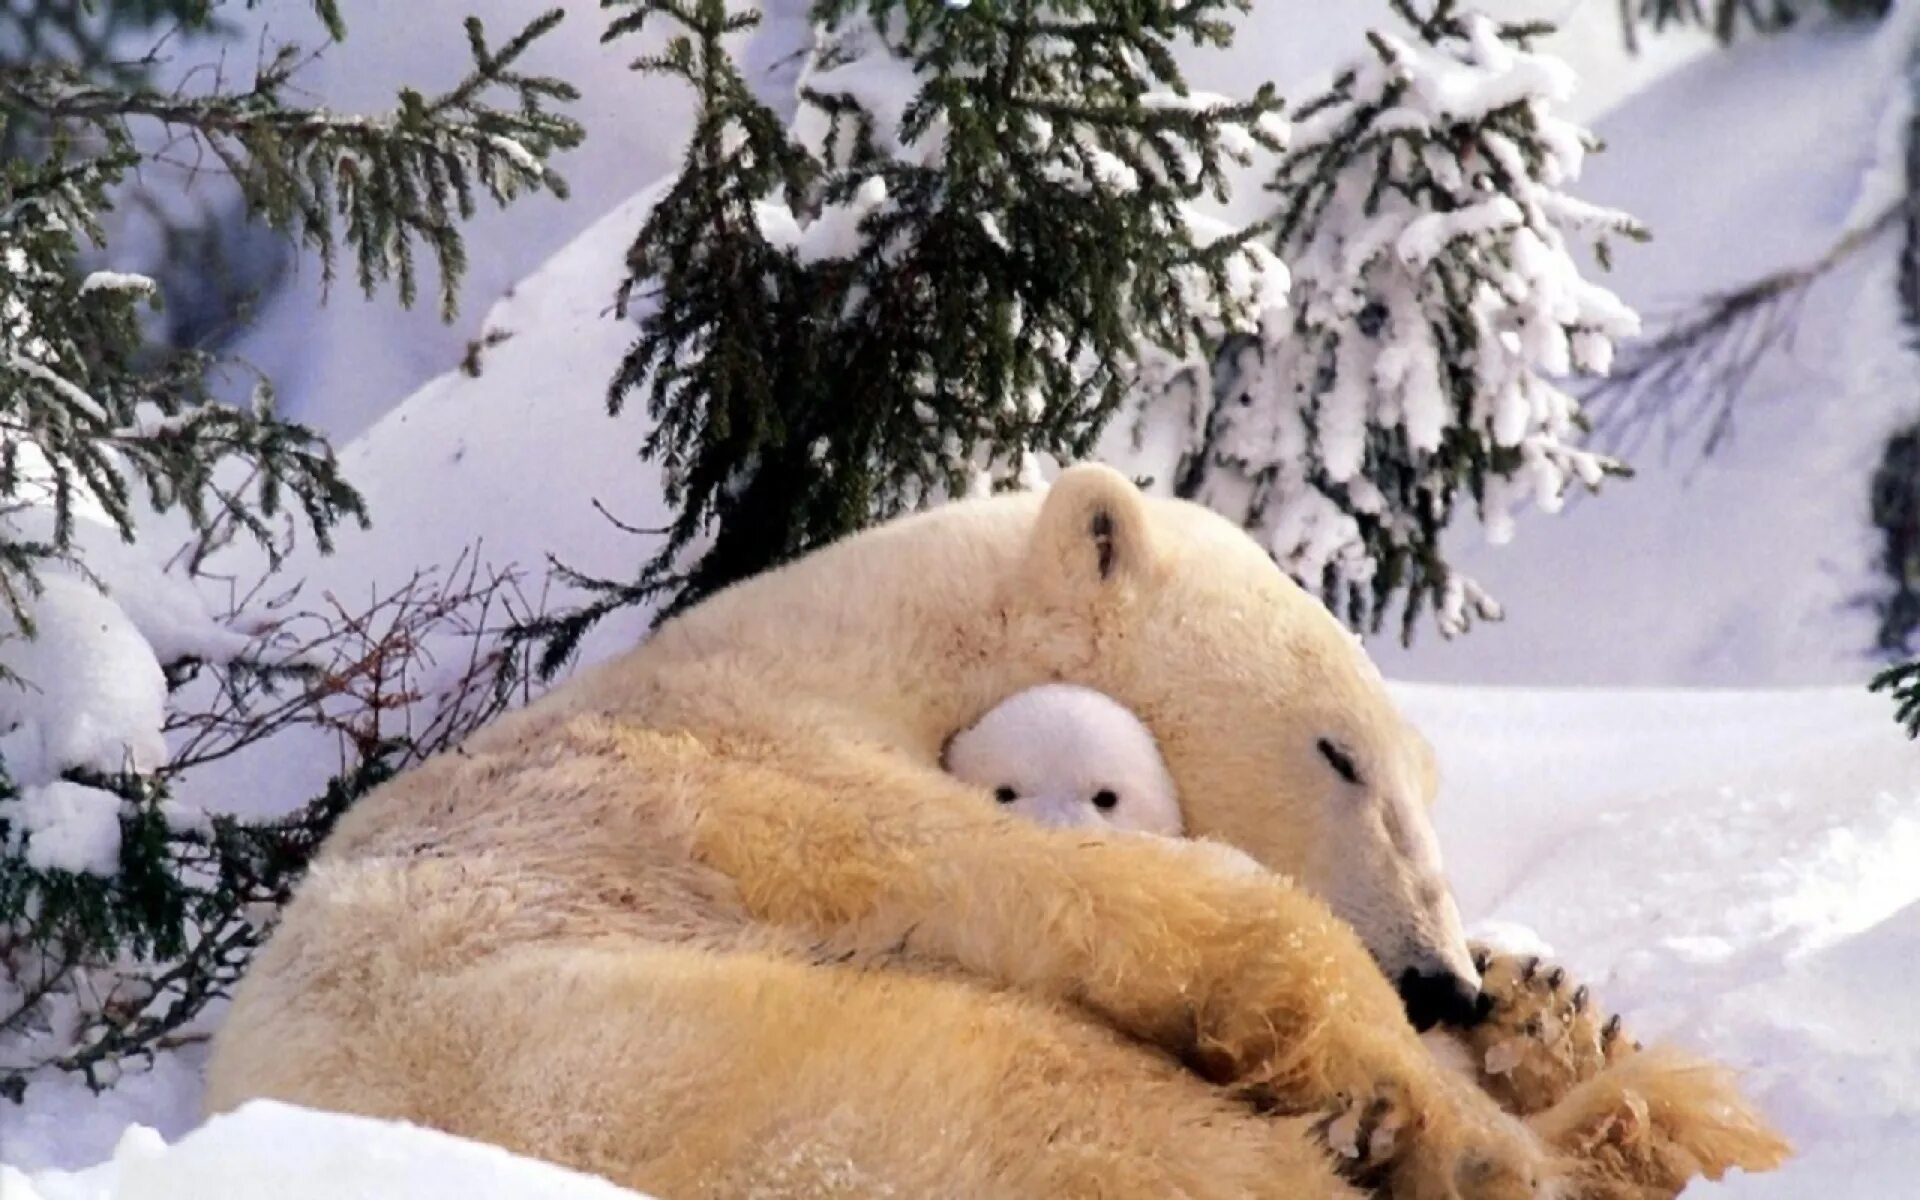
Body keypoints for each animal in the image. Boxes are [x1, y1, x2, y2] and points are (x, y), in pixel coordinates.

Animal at [202, 466, 1774, 1198]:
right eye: (1342, 757)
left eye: (1429, 782)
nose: (1439, 978)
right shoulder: (739, 781)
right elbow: (1117, 899)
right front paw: (1431, 1107)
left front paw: (1536, 1002)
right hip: (801, 1087)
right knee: (1106, 1117)